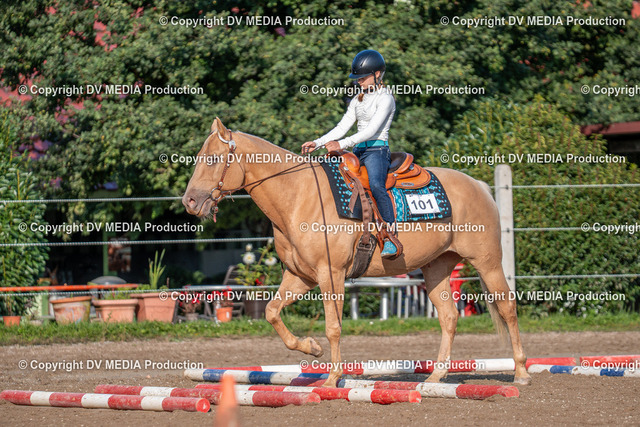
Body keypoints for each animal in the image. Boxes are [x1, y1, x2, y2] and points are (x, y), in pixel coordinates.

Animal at [183, 118, 531, 388]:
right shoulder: (300, 276)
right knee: (448, 317)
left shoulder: (330, 274)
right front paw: (311, 349)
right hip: (436, 268)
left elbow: (333, 327)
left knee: (507, 307)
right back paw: (435, 377)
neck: (299, 196)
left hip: (488, 263)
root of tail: (479, 186)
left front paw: (332, 377)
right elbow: (271, 312)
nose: (189, 201)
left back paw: (521, 372)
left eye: (212, 159)